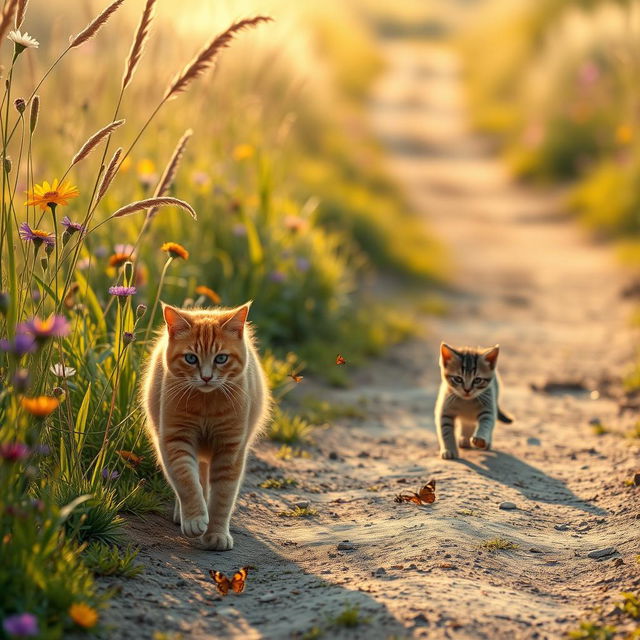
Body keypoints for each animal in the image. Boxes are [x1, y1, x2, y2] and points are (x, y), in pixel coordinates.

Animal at [142, 302, 270, 552]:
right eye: (191, 358)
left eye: (221, 358)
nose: (207, 377)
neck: (206, 404)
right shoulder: (175, 440)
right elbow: (186, 481)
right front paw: (195, 519)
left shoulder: (230, 448)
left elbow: (222, 497)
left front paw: (216, 534)